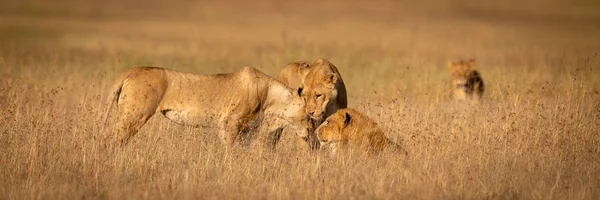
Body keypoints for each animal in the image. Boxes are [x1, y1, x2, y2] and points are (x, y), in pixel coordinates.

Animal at [102, 66, 310, 148]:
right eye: (308, 115)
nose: (310, 130)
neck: (270, 97)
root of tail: (130, 71)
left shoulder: (248, 129)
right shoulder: (230, 123)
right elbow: (231, 149)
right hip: (134, 115)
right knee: (112, 140)